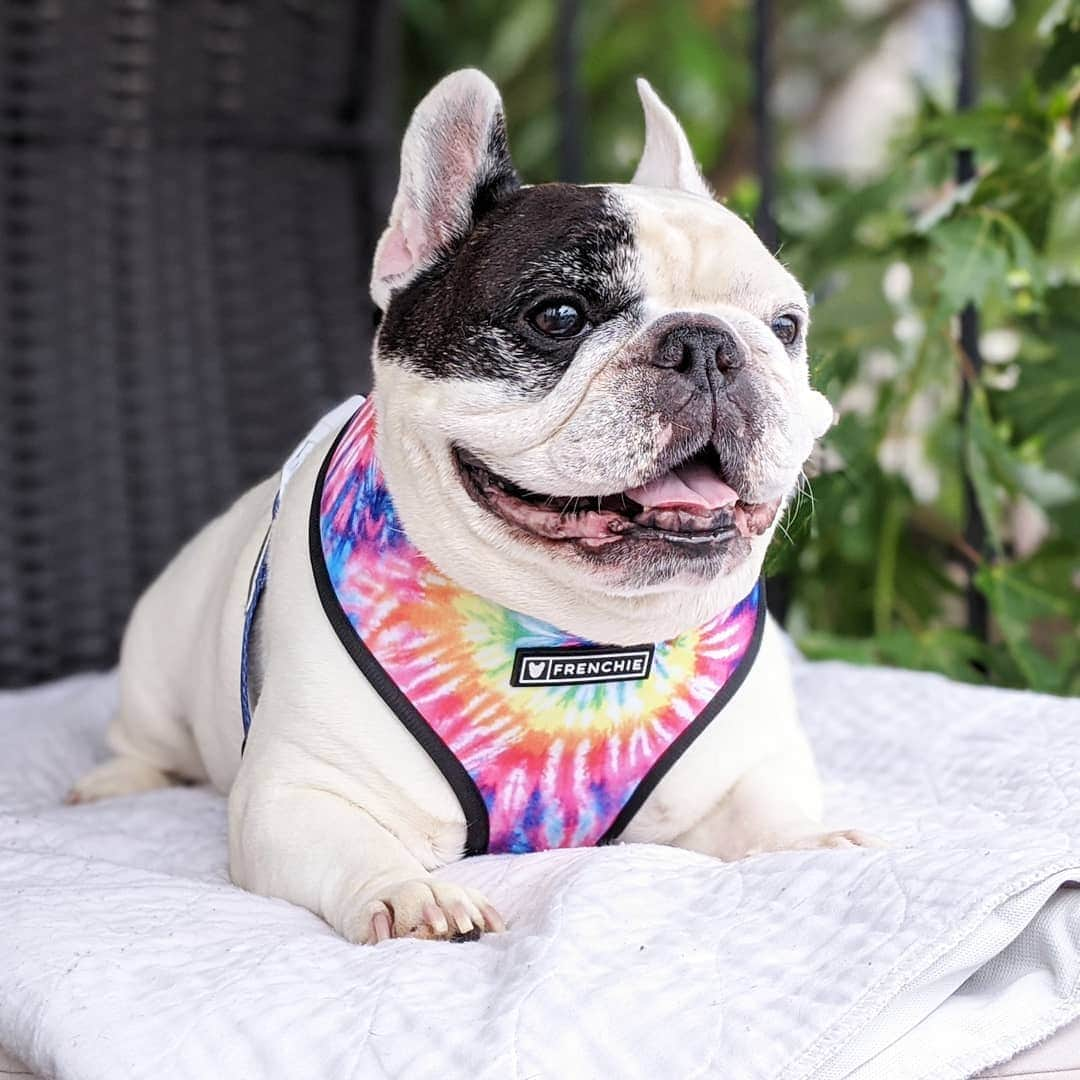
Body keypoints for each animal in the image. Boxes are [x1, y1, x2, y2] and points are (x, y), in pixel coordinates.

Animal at [69, 71, 876, 941]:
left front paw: (813, 841)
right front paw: (409, 893)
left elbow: (766, 816)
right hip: (156, 666)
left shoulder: (739, 775)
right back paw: (113, 783)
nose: (706, 344)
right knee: (142, 740)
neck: (579, 640)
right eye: (558, 315)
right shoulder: (296, 796)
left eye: (784, 326)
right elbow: (358, 846)